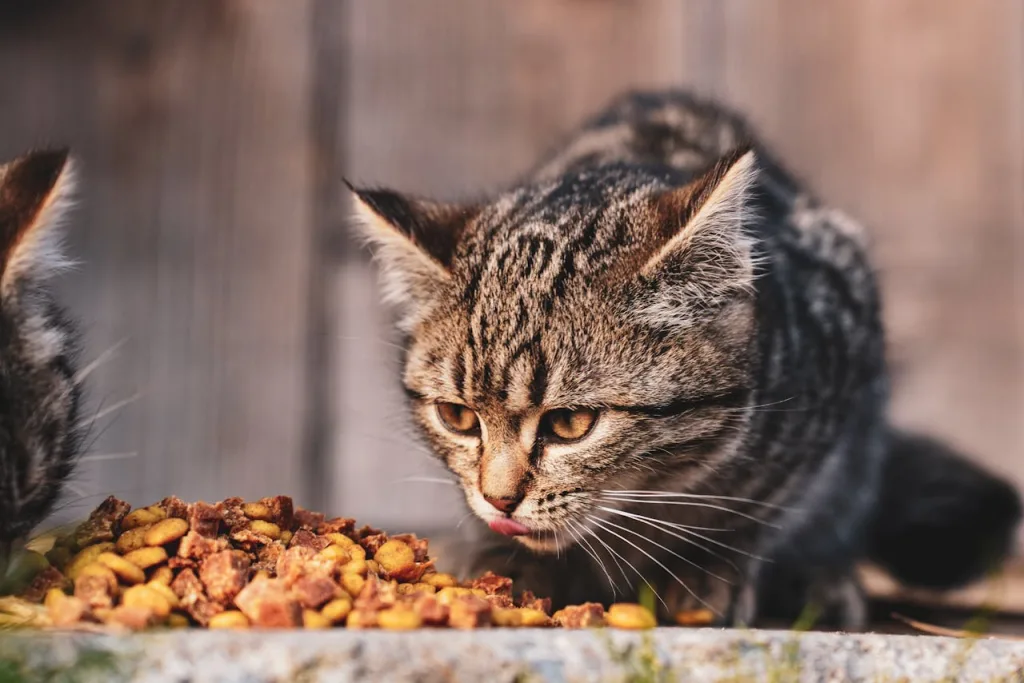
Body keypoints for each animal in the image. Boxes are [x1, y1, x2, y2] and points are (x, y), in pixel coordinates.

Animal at [350, 92, 1015, 630]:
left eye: (571, 424)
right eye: (458, 418)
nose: (499, 501)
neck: (653, 492)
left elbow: (761, 511)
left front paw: (708, 566)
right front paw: (501, 561)